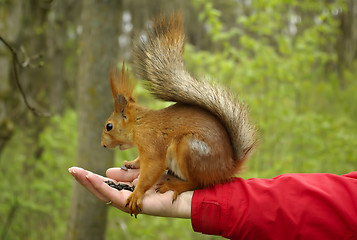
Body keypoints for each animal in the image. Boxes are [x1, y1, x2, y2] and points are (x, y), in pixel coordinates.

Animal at [100, 12, 256, 218]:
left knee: (198, 183)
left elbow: (153, 168)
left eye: (109, 126)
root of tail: (227, 168)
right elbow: (141, 161)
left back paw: (174, 185)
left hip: (189, 148)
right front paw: (131, 164)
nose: (102, 145)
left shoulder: (151, 144)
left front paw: (136, 195)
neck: (139, 124)